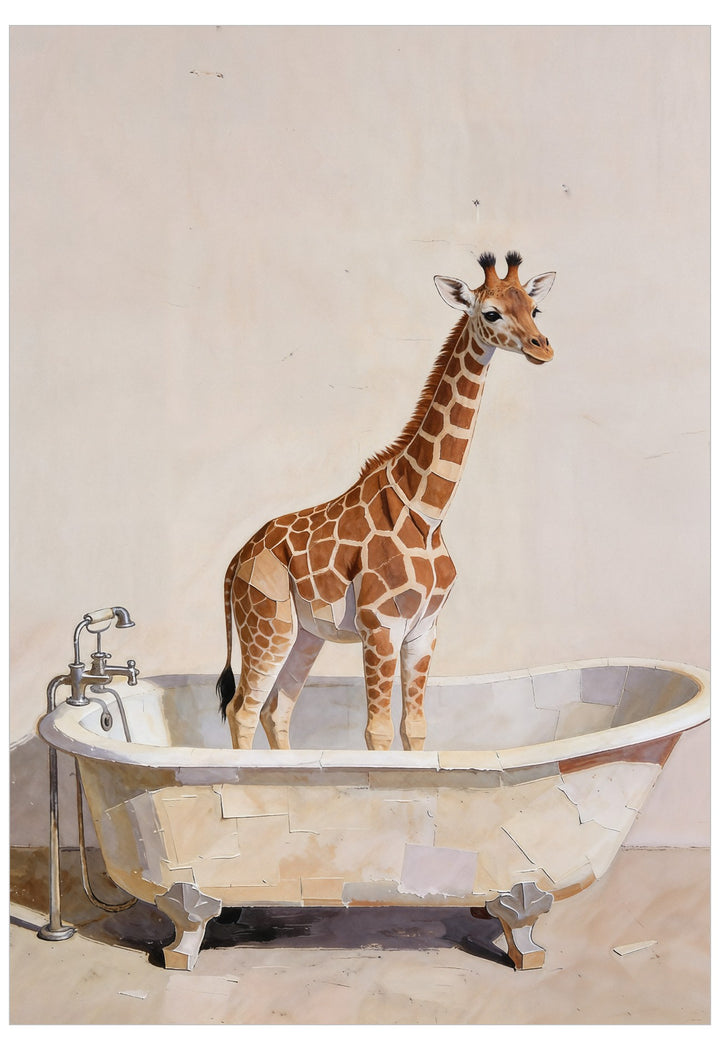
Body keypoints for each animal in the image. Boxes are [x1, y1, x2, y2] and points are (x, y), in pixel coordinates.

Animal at [217, 250, 556, 750]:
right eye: (491, 312)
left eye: (535, 308)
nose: (542, 347)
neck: (428, 511)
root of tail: (236, 560)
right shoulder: (380, 627)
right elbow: (376, 731)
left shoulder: (424, 630)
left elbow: (413, 727)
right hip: (267, 626)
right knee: (242, 709)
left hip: (306, 635)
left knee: (276, 710)